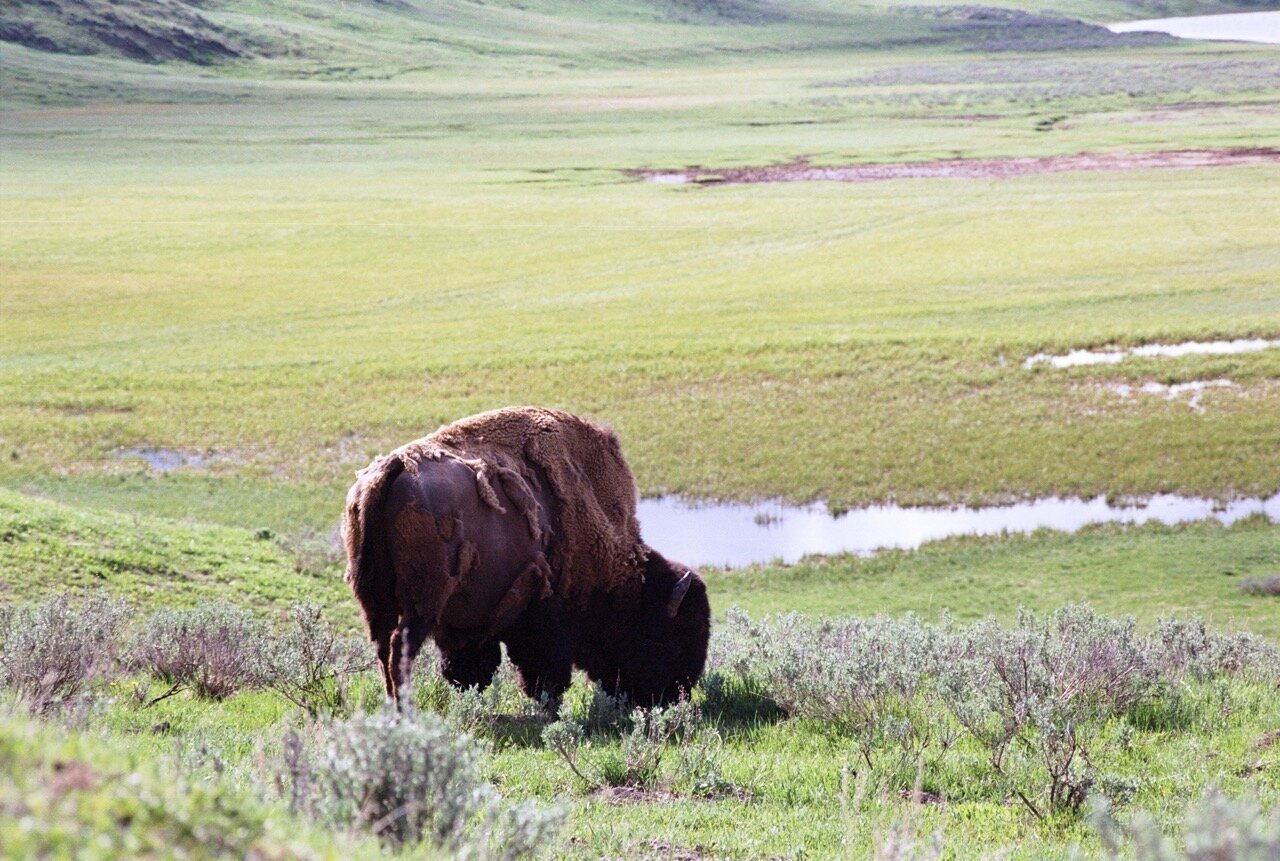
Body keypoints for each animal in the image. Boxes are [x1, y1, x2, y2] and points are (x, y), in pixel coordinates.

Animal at [343, 406, 711, 706]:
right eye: (671, 638)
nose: (673, 696)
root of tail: (394, 467)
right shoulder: (547, 615)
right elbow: (545, 675)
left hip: (376, 602)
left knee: (382, 649)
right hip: (422, 604)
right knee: (399, 651)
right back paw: (405, 710)